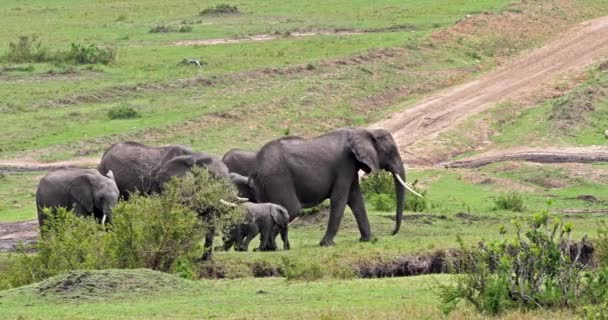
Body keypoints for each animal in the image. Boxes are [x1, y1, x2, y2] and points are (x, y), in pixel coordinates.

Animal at [249, 126, 416, 246]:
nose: (391, 233)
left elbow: (356, 199)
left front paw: (368, 240)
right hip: (278, 178)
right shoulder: (345, 164)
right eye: (391, 151)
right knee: (292, 210)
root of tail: (257, 165)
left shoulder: (351, 166)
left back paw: (265, 248)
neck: (365, 131)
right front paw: (327, 244)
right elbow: (340, 199)